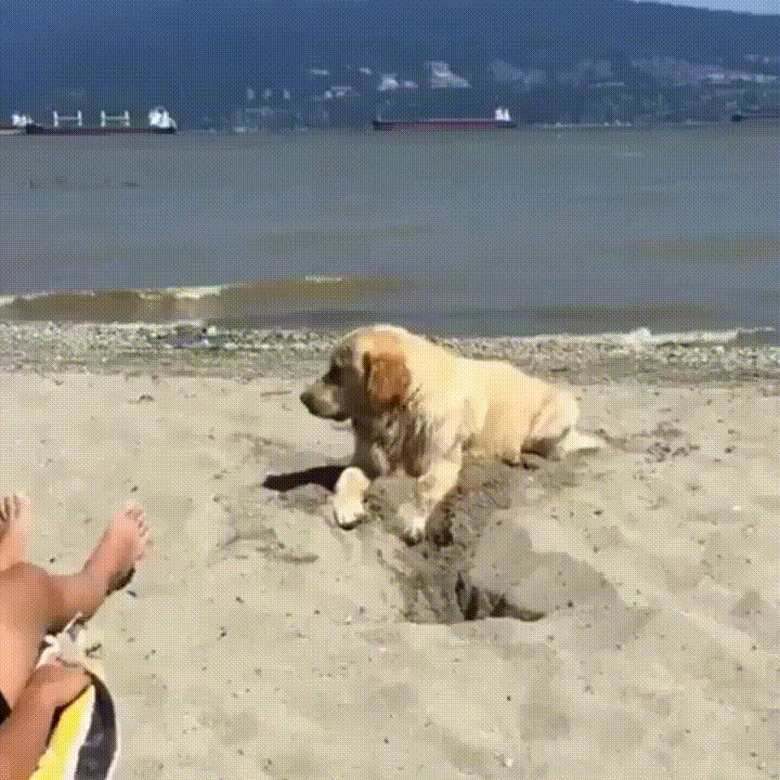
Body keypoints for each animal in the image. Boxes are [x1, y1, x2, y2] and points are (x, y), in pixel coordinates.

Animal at [300, 322, 596, 544]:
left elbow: (424, 486)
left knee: (552, 450)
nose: (303, 398)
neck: (401, 411)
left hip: (559, 411)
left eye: (336, 371)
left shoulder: (442, 460)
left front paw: (410, 520)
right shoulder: (368, 460)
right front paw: (347, 508)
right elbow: (347, 475)